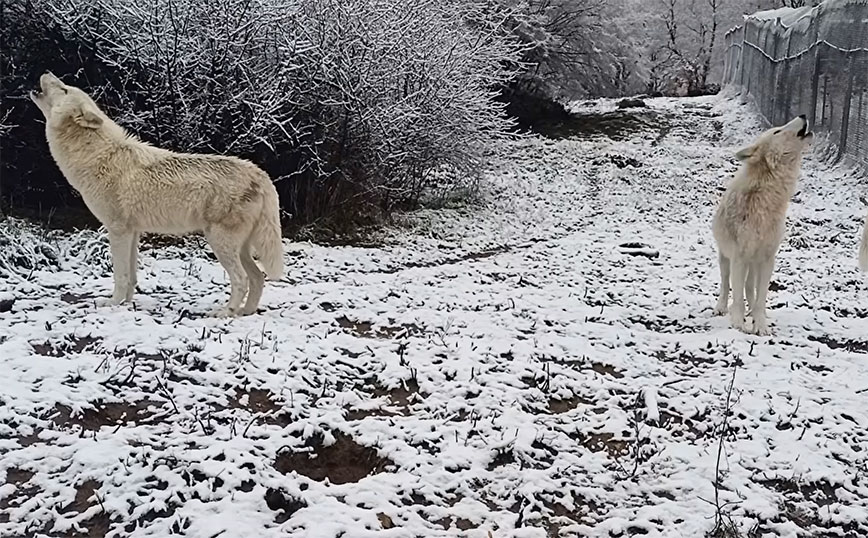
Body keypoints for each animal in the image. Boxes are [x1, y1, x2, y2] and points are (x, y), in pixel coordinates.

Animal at [28, 71, 282, 314]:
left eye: (64, 89)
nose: (46, 71)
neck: (96, 155)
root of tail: (261, 174)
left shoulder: (118, 230)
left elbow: (120, 275)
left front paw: (112, 303)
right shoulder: (133, 232)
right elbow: (131, 277)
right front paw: (126, 304)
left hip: (220, 243)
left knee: (241, 279)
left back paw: (225, 313)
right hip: (240, 247)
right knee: (258, 278)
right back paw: (245, 312)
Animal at [712, 116, 812, 336]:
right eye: (777, 131)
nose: (803, 115)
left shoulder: (767, 259)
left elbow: (760, 297)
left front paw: (760, 325)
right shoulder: (739, 257)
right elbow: (737, 295)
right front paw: (738, 324)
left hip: (754, 264)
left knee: (751, 288)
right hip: (726, 259)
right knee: (725, 284)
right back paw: (721, 308)